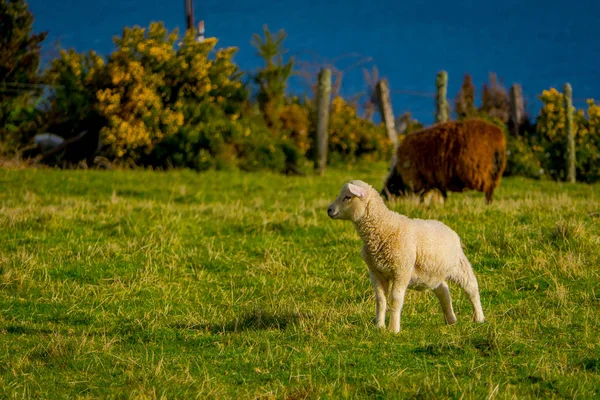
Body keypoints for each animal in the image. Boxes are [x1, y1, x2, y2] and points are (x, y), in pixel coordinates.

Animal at [326, 180, 486, 332]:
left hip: (458, 265)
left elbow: (395, 300)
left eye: (348, 197)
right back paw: (451, 320)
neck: (384, 227)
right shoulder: (376, 273)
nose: (329, 210)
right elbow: (380, 300)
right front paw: (379, 326)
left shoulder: (401, 271)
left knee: (471, 287)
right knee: (443, 290)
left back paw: (479, 318)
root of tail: (447, 228)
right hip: (431, 274)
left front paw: (393, 329)